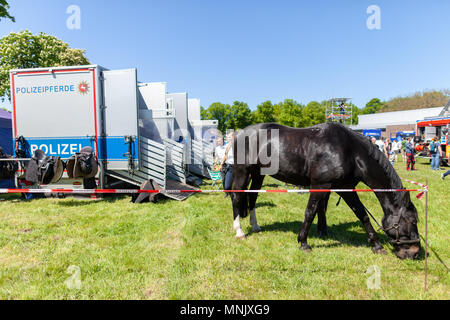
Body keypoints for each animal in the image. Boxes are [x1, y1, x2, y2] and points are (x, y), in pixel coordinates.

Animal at [232, 122, 422, 260]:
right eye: (413, 221)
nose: (415, 252)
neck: (351, 152)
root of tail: (240, 134)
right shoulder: (320, 185)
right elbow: (310, 212)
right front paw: (303, 242)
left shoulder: (345, 188)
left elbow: (361, 214)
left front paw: (376, 245)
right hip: (242, 172)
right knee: (236, 197)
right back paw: (239, 231)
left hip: (258, 175)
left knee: (252, 198)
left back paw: (255, 226)